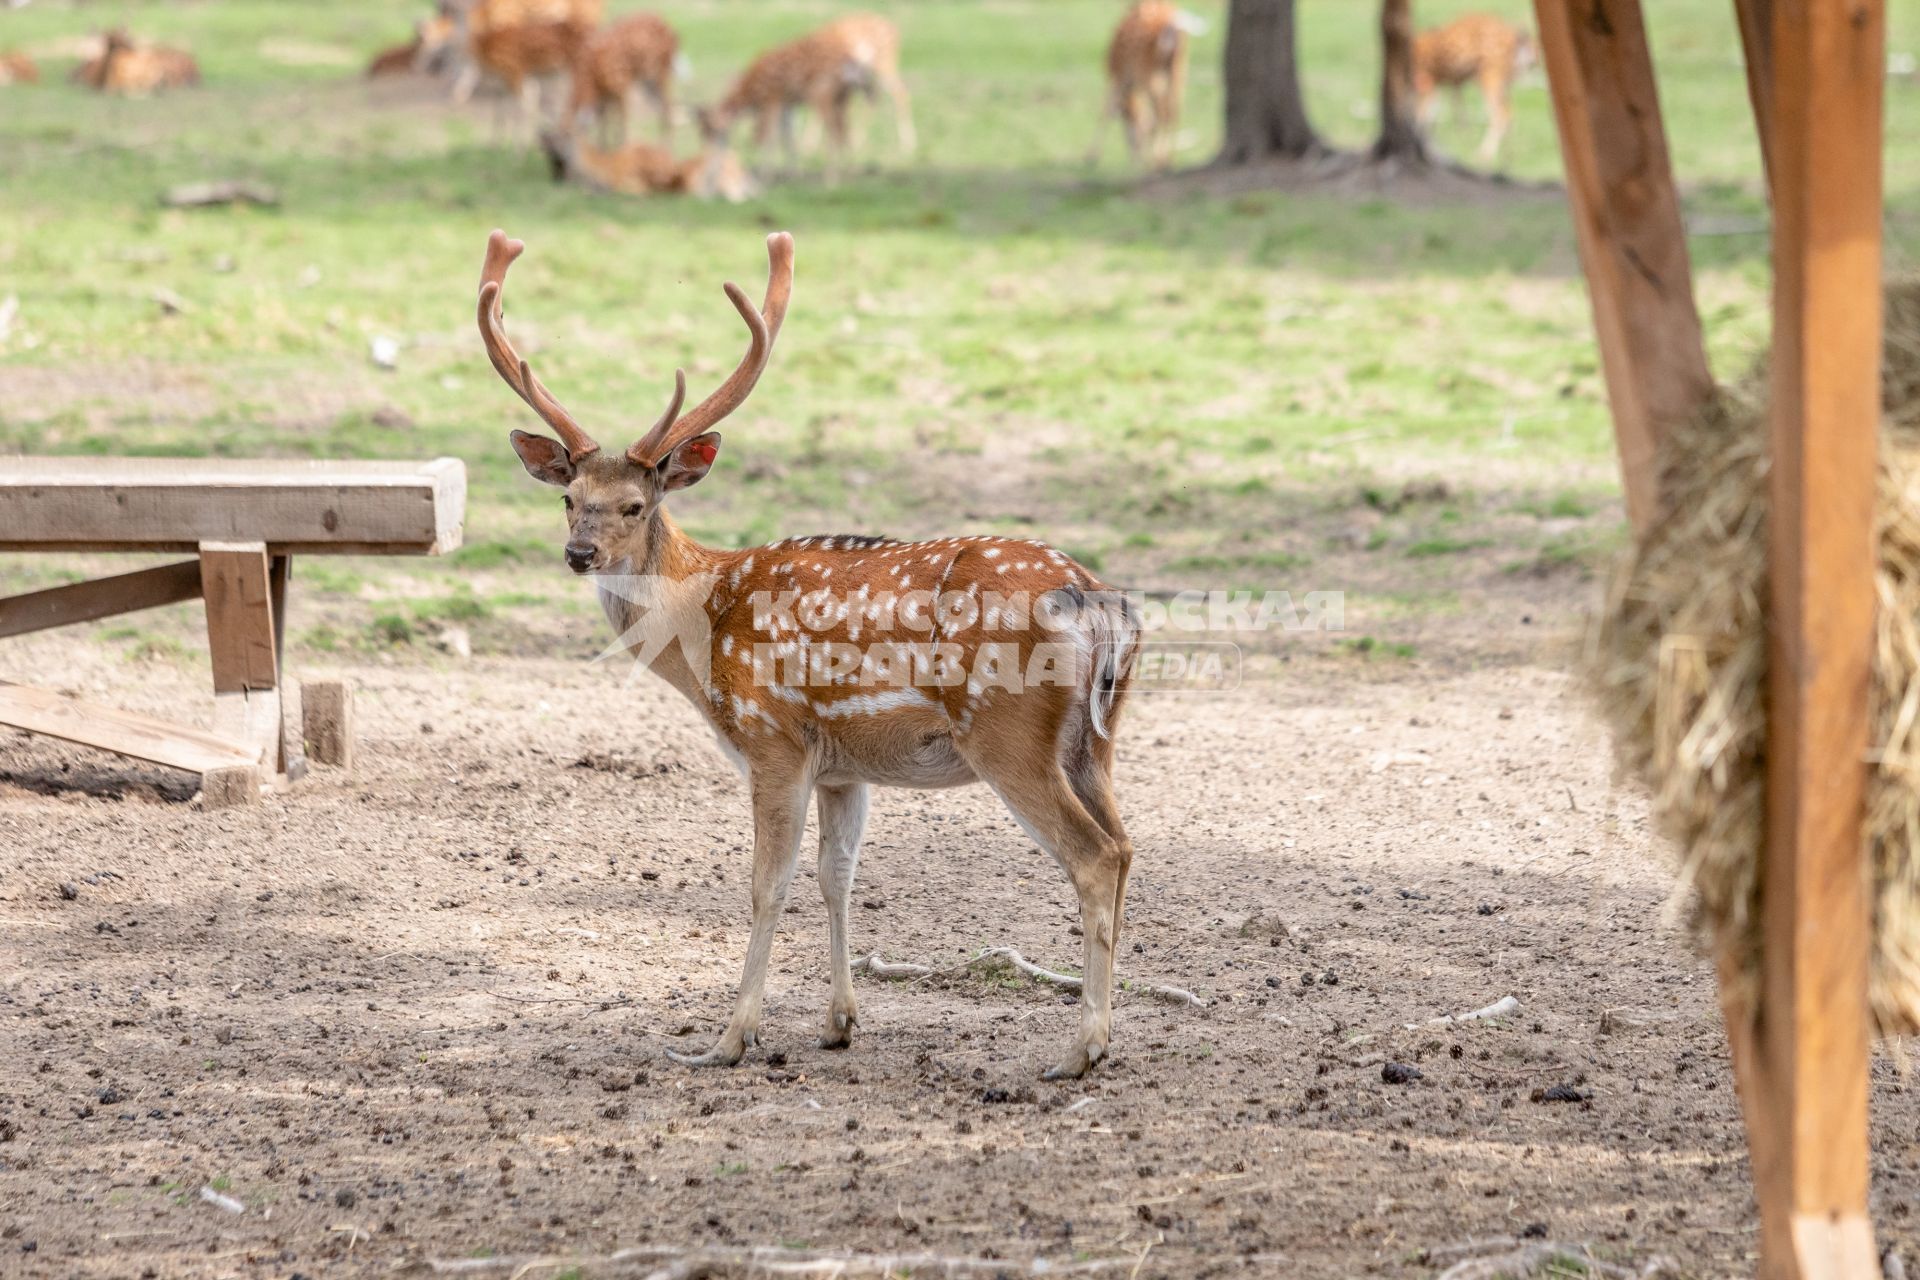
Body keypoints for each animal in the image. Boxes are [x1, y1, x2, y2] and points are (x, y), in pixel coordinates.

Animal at [480, 230, 1136, 1082]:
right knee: (1126, 847)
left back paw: (1079, 1049)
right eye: (567, 497)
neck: (702, 622)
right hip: (1095, 741)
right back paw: (1107, 1033)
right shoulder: (843, 766)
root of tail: (1096, 600)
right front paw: (838, 1023)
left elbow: (768, 885)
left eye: (636, 504)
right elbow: (837, 877)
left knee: (1094, 856)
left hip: (1009, 733)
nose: (579, 552)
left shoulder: (773, 739)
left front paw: (729, 1039)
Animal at [560, 11, 683, 146]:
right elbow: (604, 119)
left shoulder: (621, 83)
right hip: (647, 81)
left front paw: (621, 146)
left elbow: (621, 119)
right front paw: (604, 146)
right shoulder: (605, 94)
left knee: (667, 106)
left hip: (661, 70)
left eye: (572, 138)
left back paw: (667, 145)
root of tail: (674, 34)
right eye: (560, 137)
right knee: (660, 108)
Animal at [1098, 1, 1198, 168]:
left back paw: (1158, 160)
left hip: (1148, 72)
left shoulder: (1118, 74)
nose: (1135, 159)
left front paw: (1090, 157)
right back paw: (1167, 160)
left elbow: (1107, 110)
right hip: (1178, 70)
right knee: (1173, 111)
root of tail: (1171, 27)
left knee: (1161, 112)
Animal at [1420, 11, 1536, 165]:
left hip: (1489, 78)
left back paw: (1485, 156)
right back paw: (1507, 156)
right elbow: (1445, 112)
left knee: (1500, 116)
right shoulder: (1446, 84)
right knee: (1508, 114)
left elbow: (1426, 116)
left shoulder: (1430, 84)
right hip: (1500, 84)